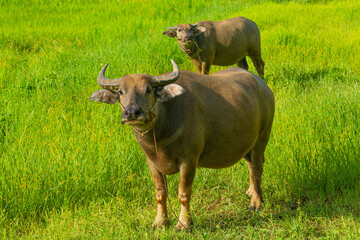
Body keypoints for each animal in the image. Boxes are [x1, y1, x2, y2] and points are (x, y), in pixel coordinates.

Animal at [88, 59, 274, 231]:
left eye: (148, 89)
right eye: (120, 91)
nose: (132, 113)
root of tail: (263, 86)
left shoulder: (189, 160)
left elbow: (183, 193)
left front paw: (183, 224)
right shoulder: (152, 162)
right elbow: (160, 193)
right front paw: (160, 222)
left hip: (262, 137)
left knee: (258, 166)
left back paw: (256, 203)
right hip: (246, 142)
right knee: (250, 164)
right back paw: (250, 191)